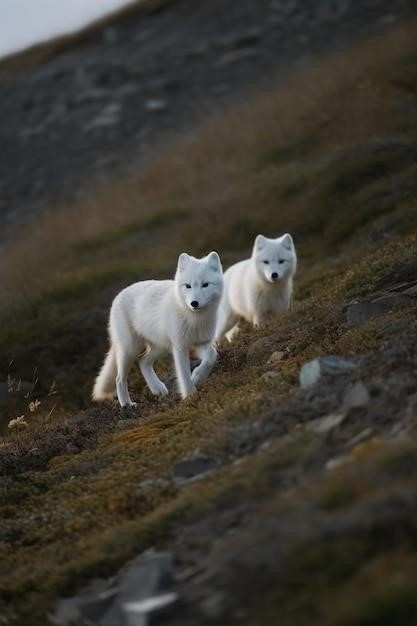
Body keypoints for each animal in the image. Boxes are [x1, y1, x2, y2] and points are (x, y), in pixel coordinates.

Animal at [93, 251, 224, 408]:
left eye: (205, 285)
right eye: (188, 286)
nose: (194, 303)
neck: (194, 319)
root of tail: (118, 296)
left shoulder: (201, 343)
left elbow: (212, 355)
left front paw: (198, 376)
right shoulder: (179, 347)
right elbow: (184, 375)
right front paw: (190, 397)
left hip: (160, 347)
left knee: (142, 362)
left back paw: (157, 389)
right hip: (130, 349)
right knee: (119, 378)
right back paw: (127, 405)